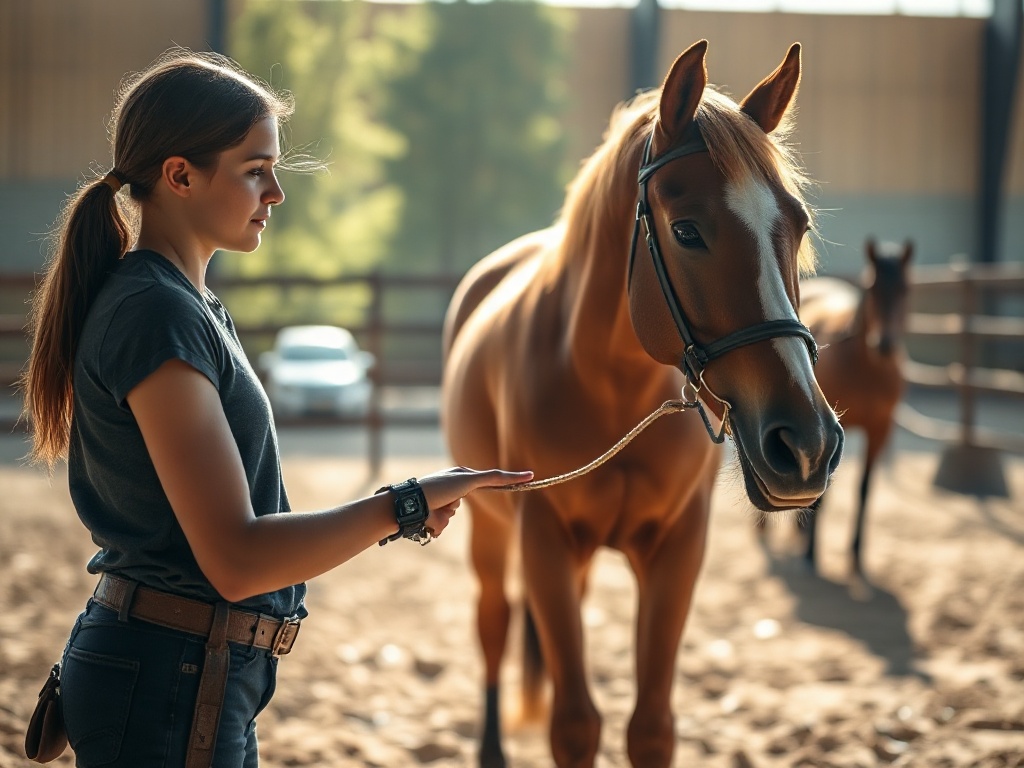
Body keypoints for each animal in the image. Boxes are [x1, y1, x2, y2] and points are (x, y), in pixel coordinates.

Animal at [441, 40, 844, 768]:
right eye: (686, 231)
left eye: (796, 227)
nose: (807, 447)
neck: (611, 387)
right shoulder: (542, 540)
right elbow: (575, 723)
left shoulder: (677, 549)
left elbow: (650, 726)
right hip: (491, 530)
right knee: (493, 624)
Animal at [794, 238, 913, 597]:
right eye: (872, 288)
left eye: (907, 289)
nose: (885, 344)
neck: (865, 367)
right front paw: (810, 555)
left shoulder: (879, 430)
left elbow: (864, 490)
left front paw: (857, 557)